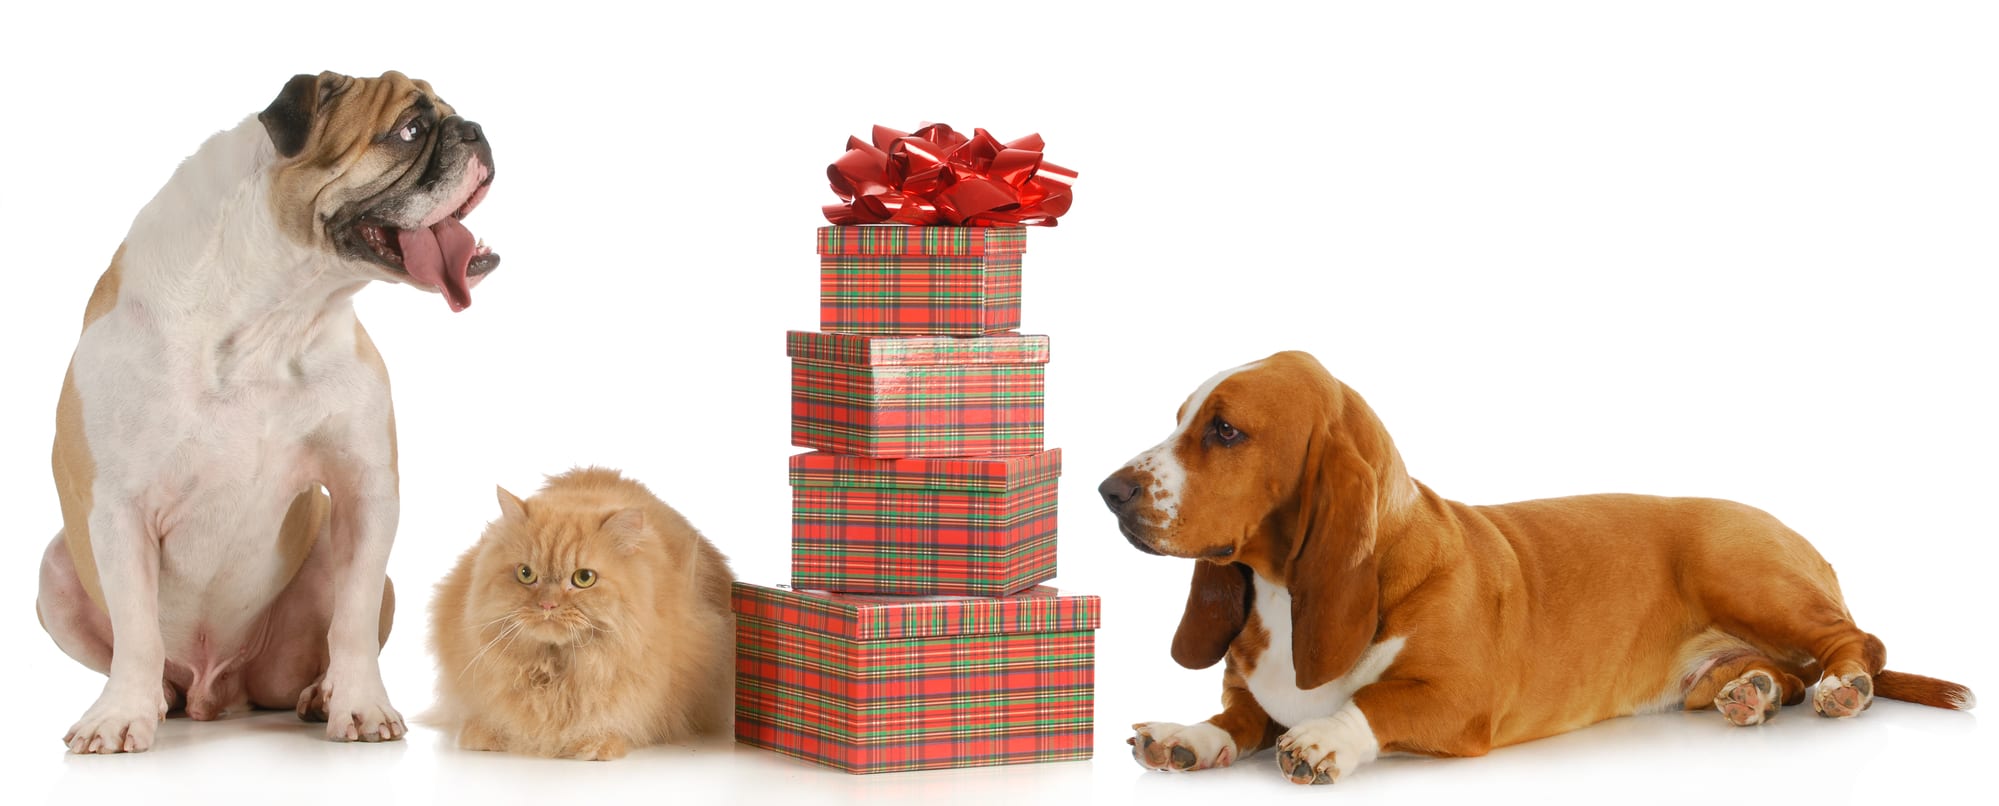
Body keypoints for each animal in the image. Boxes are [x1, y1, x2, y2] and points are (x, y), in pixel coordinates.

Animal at [427, 470, 735, 760]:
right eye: (526, 574)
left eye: (584, 578)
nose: (547, 605)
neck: (554, 670)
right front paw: (486, 735)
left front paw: (596, 744)